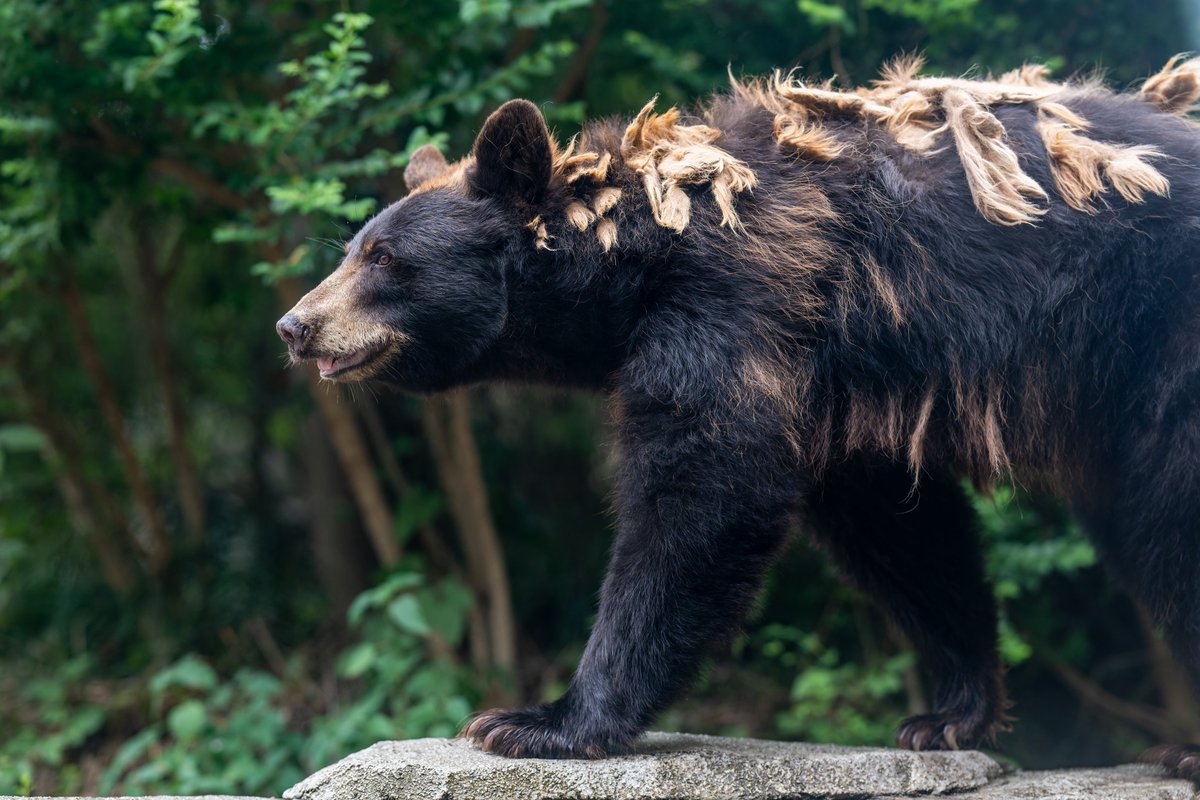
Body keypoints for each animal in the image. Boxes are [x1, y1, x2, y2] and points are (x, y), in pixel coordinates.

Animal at [276, 54, 1200, 777]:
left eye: (384, 258)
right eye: (352, 250)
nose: (294, 325)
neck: (637, 252)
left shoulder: (742, 302)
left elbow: (704, 490)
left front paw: (539, 720)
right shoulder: (843, 371)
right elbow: (896, 523)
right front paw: (950, 710)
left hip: (1161, 342)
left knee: (1168, 509)